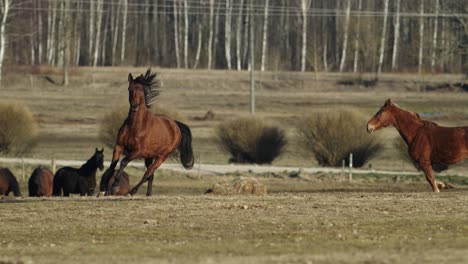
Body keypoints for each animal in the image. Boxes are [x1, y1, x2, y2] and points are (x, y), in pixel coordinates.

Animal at [107, 68, 193, 196]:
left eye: (141, 90)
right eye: (130, 89)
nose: (134, 106)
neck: (135, 125)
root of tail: (175, 125)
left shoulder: (137, 151)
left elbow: (123, 162)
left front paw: (115, 186)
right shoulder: (118, 146)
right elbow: (112, 166)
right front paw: (107, 190)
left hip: (162, 156)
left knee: (148, 173)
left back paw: (133, 191)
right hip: (150, 156)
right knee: (150, 175)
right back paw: (148, 194)